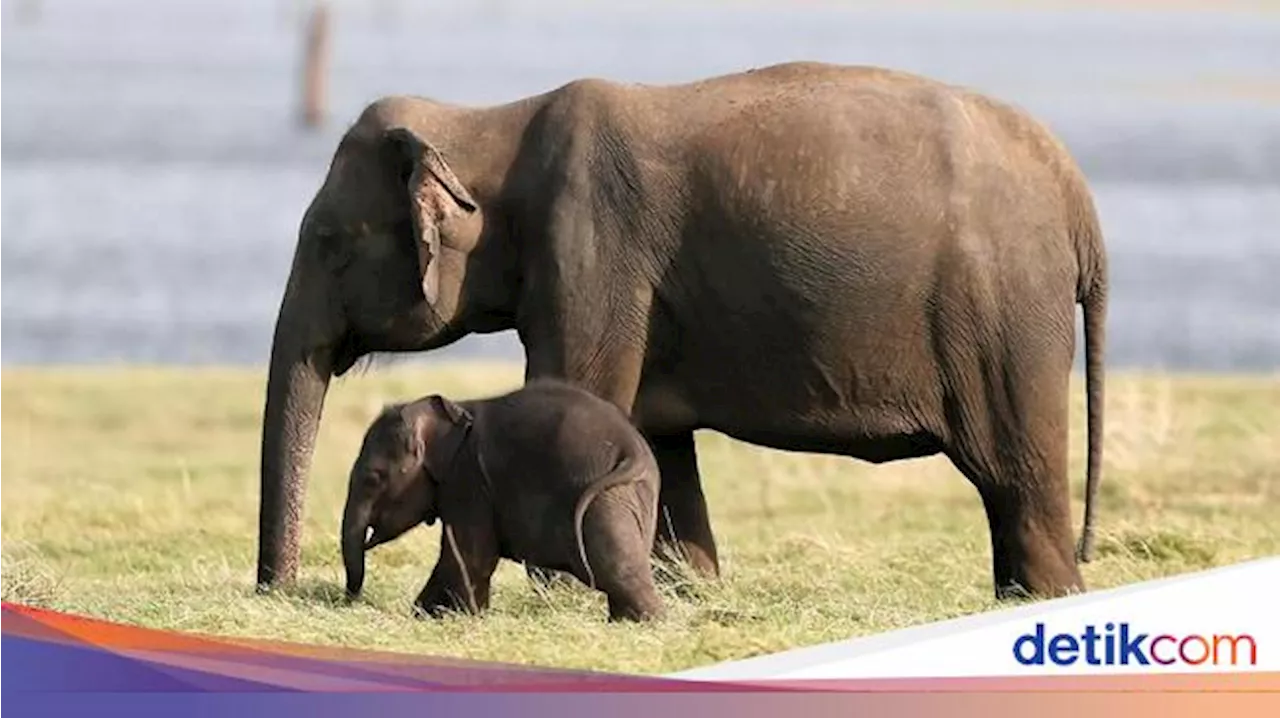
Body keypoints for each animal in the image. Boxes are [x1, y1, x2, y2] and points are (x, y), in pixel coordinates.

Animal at [340, 378, 665, 619]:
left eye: (373, 479)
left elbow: (468, 557)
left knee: (616, 568)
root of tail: (634, 451)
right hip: (631, 498)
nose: (350, 600)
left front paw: (450, 617)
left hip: (605, 501)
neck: (457, 408)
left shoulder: (469, 479)